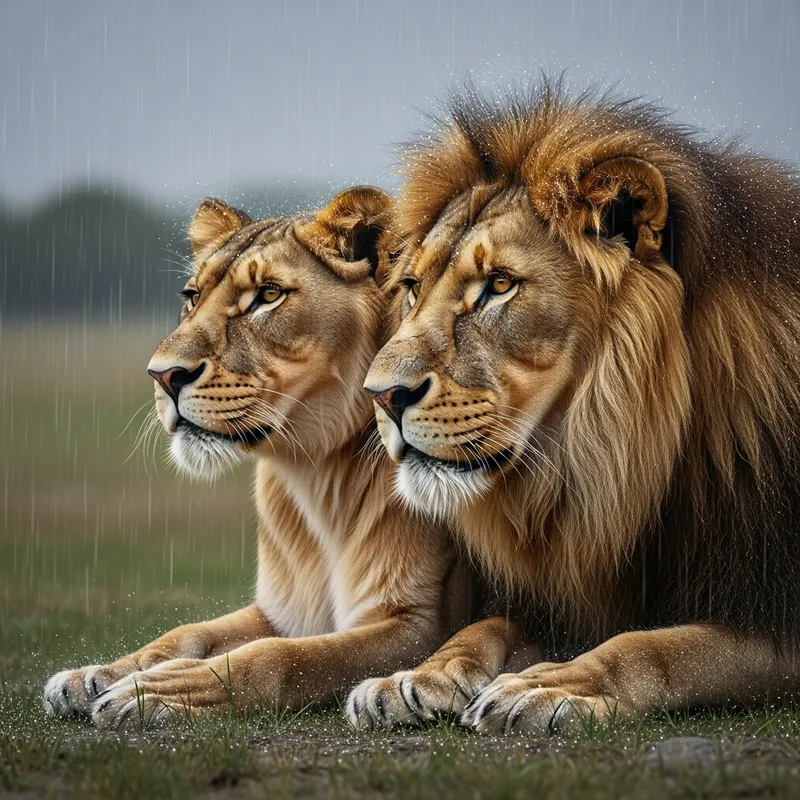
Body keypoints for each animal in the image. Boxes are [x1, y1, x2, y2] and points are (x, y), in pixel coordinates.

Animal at [43, 186, 490, 729]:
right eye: (191, 297)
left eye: (268, 295)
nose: (162, 375)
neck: (316, 473)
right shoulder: (281, 611)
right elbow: (187, 632)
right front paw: (98, 674)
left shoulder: (419, 623)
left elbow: (284, 656)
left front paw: (158, 689)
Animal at [347, 81, 800, 734]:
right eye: (412, 287)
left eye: (500, 285)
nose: (381, 395)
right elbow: (484, 626)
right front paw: (415, 676)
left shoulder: (772, 604)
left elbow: (657, 646)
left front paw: (548, 685)